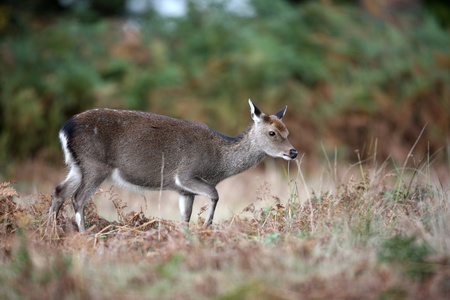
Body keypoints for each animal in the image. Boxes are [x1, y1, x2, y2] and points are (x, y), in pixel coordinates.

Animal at [48, 100, 298, 232]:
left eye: (287, 131)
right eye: (272, 132)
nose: (293, 152)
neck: (218, 163)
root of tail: (64, 129)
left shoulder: (184, 190)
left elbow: (185, 217)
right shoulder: (185, 175)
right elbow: (215, 193)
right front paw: (207, 225)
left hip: (78, 166)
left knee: (59, 191)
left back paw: (50, 232)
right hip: (94, 164)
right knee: (77, 198)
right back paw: (85, 235)